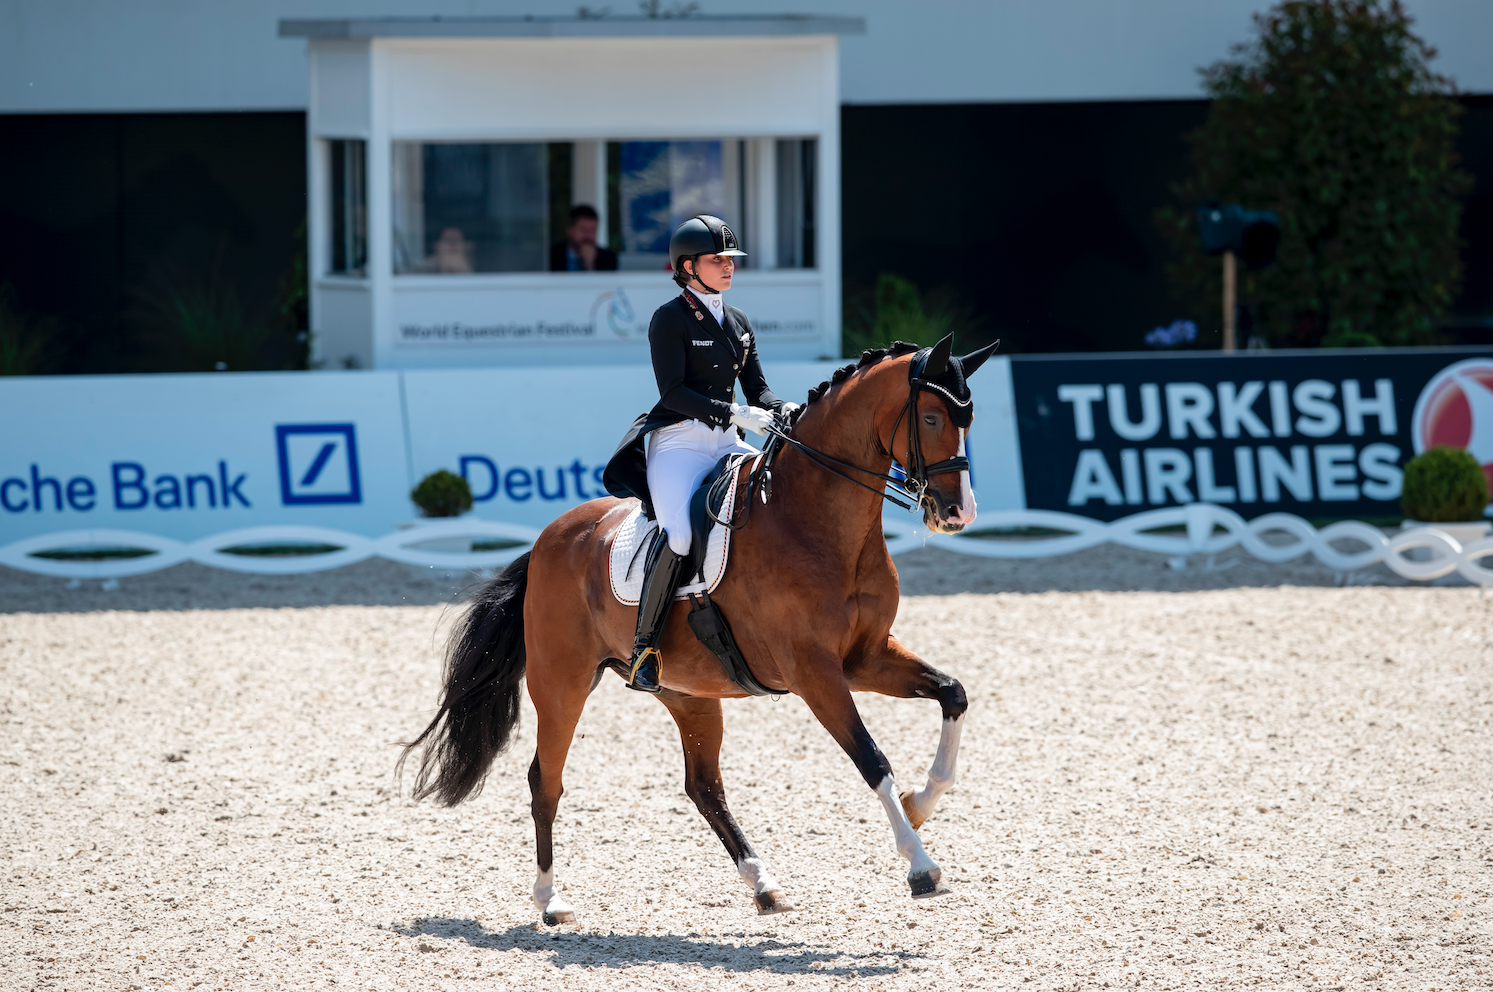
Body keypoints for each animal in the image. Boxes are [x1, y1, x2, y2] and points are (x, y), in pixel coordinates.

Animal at [403, 333, 997, 920]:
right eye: (930, 419)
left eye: (968, 420)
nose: (957, 513)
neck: (815, 521)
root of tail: (548, 538)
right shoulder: (815, 674)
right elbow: (872, 759)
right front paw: (920, 864)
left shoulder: (866, 656)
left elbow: (953, 693)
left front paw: (918, 804)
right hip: (561, 683)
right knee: (545, 781)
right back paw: (551, 900)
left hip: (687, 692)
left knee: (703, 786)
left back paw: (764, 884)